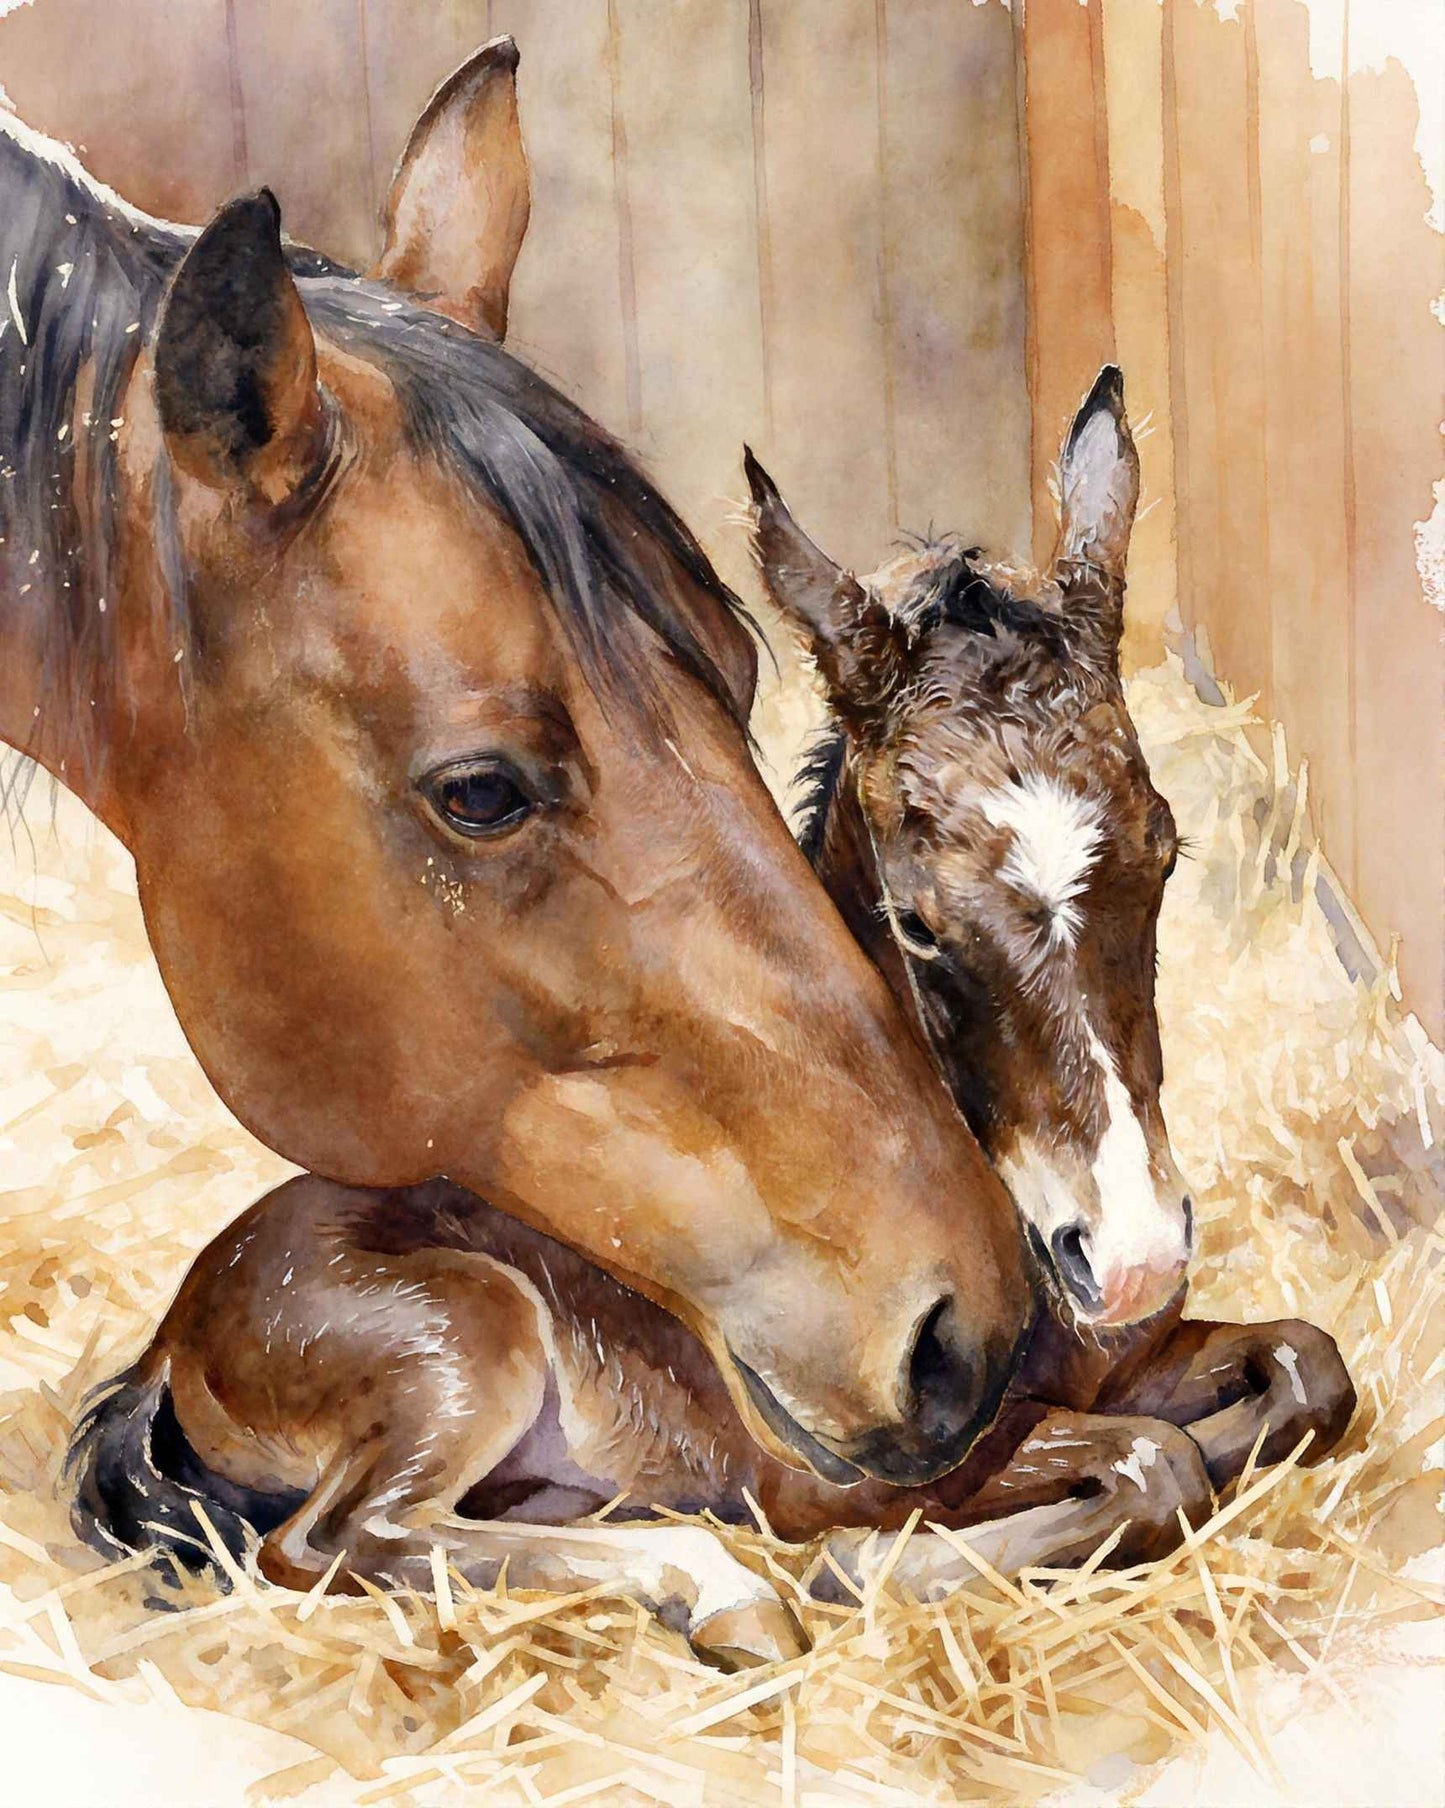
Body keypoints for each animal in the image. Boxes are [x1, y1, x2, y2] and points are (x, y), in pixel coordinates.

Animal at [70, 370, 1353, 1669]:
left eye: (1163, 849)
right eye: (915, 919)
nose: (1133, 1255)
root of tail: (171, 1332)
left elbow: (1307, 1367)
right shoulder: (853, 1462)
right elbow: (1151, 1463)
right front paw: (866, 1568)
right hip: (462, 1340)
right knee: (331, 1538)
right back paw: (725, 1590)